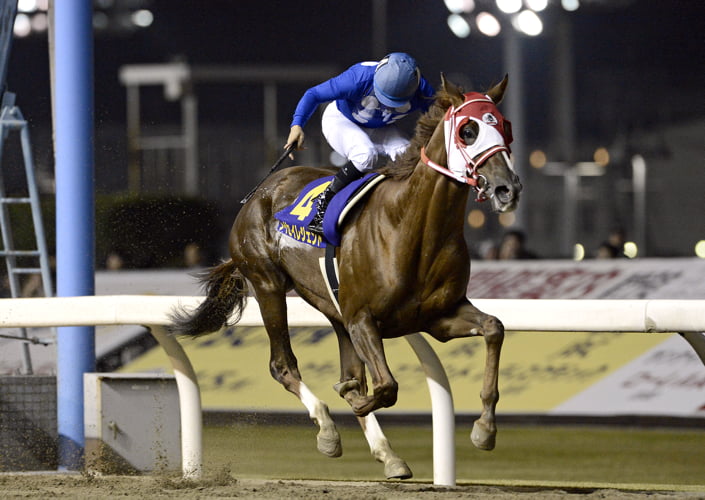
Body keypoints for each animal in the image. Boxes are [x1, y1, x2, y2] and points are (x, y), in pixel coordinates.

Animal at [170, 75, 522, 479]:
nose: (508, 188)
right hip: (267, 283)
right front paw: (348, 400)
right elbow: (386, 387)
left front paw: (484, 429)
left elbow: (494, 328)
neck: (412, 226)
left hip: (333, 307)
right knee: (282, 364)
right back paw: (327, 429)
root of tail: (260, 190)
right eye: (468, 130)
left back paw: (387, 453)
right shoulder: (363, 318)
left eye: (506, 127)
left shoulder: (438, 317)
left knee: (350, 365)